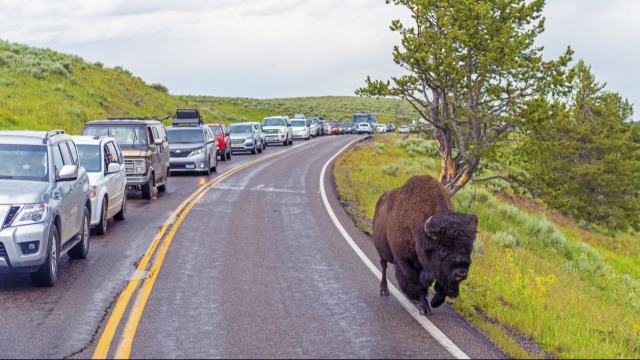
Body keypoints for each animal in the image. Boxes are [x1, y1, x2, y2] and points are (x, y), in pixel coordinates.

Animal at [372, 175, 478, 316]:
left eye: (468, 248)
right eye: (443, 249)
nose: (461, 273)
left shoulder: (441, 272)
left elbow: (441, 286)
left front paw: (434, 302)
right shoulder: (404, 262)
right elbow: (418, 284)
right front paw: (424, 307)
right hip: (382, 252)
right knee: (383, 267)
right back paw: (384, 290)